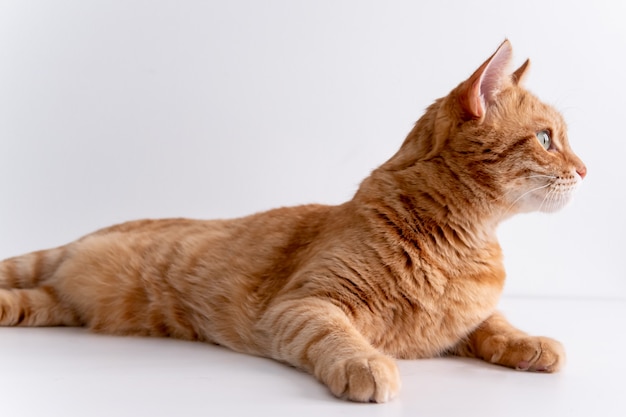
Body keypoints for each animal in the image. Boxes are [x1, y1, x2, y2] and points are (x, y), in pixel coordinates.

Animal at [0, 40, 584, 402]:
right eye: (546, 138)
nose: (586, 169)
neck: (460, 243)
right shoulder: (304, 305)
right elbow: (336, 335)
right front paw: (366, 364)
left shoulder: (461, 322)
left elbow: (498, 325)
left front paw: (532, 343)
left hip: (53, 306)